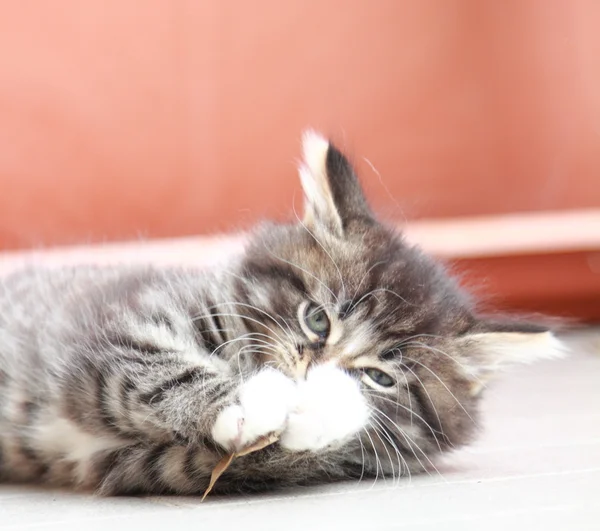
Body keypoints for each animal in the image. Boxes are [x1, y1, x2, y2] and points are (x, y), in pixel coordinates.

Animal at [0, 131, 564, 496]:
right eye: (317, 319)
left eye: (381, 377)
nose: (312, 371)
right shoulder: (109, 328)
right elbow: (159, 370)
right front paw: (245, 401)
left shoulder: (139, 464)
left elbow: (264, 459)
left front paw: (327, 408)